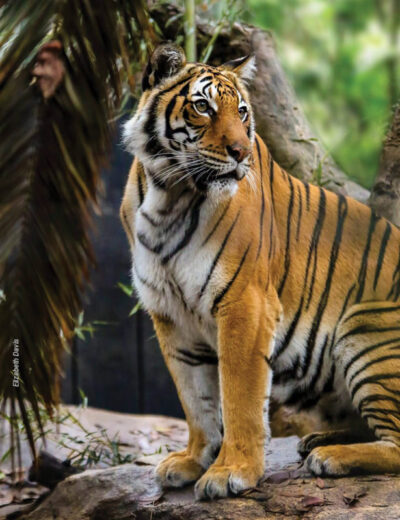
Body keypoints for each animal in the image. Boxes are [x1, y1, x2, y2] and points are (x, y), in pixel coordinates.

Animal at [119, 42, 400, 498]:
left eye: (243, 112)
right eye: (203, 107)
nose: (241, 153)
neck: (169, 196)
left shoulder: (244, 304)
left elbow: (239, 397)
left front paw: (231, 472)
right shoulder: (170, 315)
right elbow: (194, 399)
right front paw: (192, 460)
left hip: (364, 328)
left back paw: (330, 457)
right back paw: (318, 441)